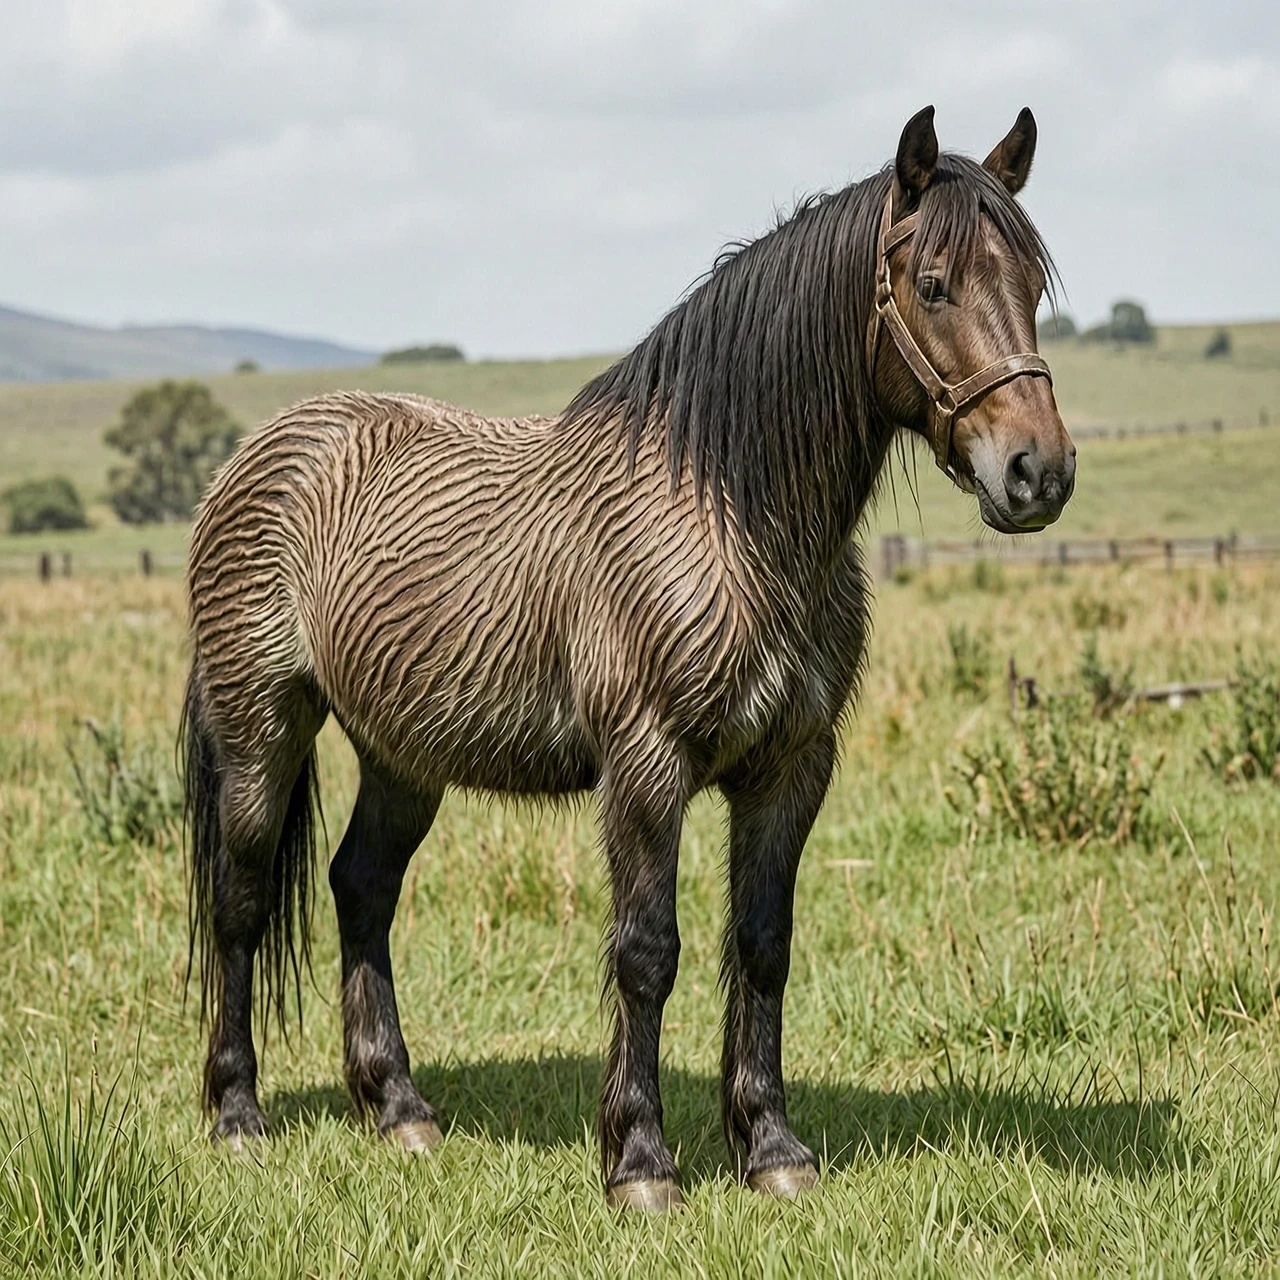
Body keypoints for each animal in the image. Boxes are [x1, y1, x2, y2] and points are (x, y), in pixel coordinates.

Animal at [183, 105, 1075, 1211]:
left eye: (1030, 285)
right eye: (934, 284)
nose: (1038, 473)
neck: (729, 518)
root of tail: (257, 451)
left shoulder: (791, 768)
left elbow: (762, 946)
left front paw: (771, 1148)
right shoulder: (647, 767)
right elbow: (648, 952)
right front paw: (640, 1161)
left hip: (402, 754)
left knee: (362, 888)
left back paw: (398, 1109)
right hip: (262, 731)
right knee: (241, 902)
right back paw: (236, 1115)